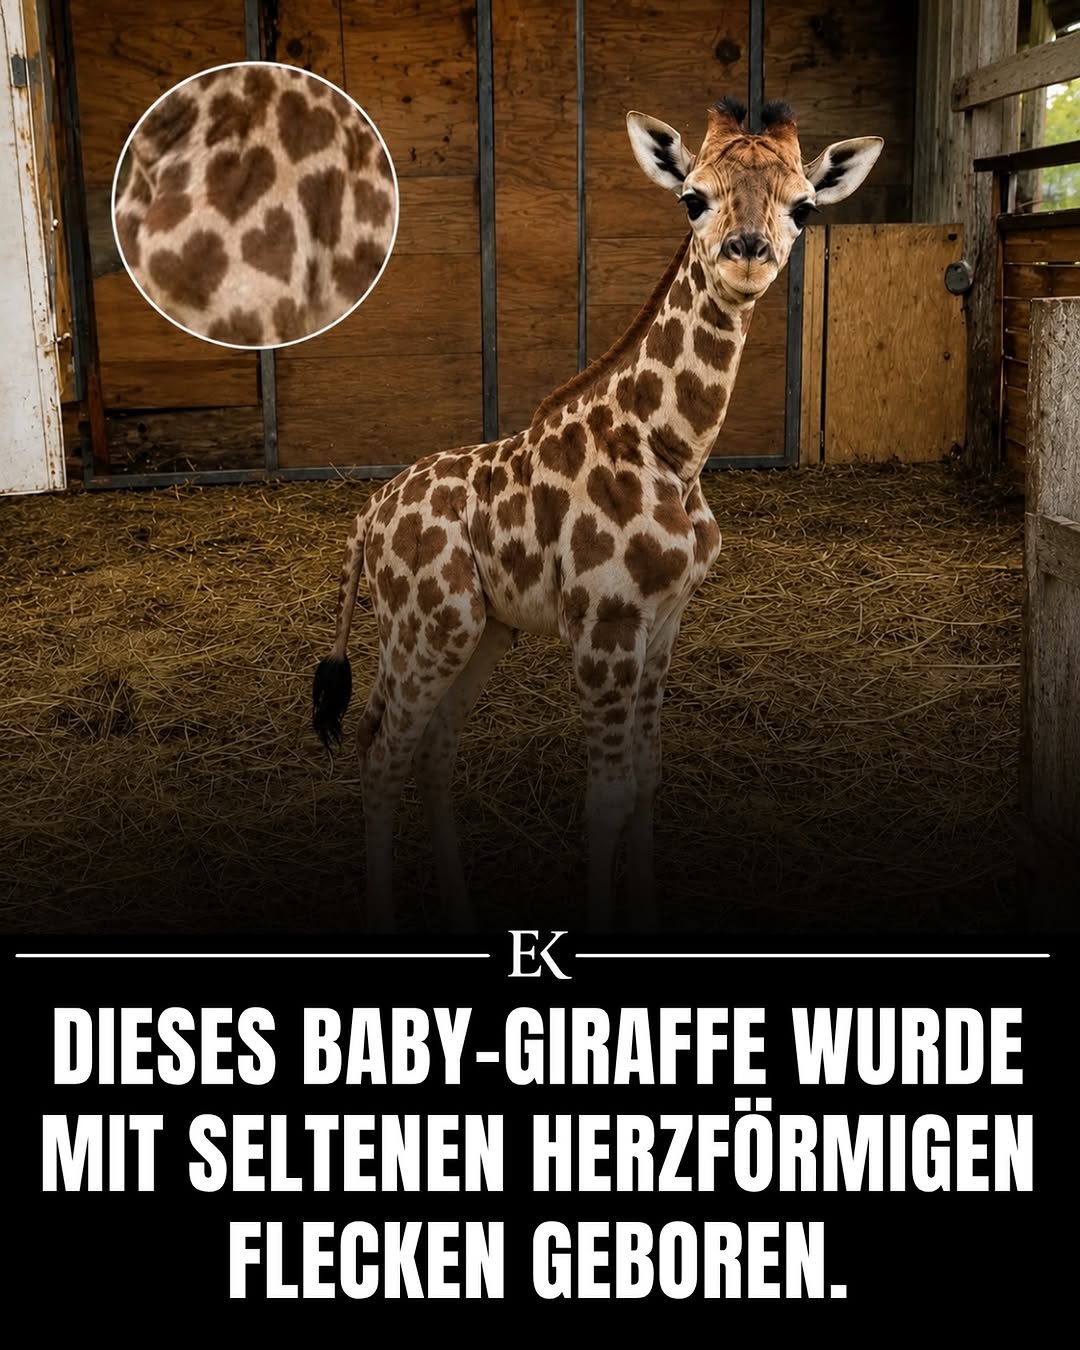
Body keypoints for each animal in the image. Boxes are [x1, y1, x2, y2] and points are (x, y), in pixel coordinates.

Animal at [313, 98, 883, 931]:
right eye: (693, 198)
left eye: (803, 206)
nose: (748, 253)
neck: (671, 452)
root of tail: (369, 517)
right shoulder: (602, 624)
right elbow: (607, 797)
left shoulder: (664, 623)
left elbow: (646, 777)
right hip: (429, 628)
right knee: (383, 751)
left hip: (475, 632)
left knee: (429, 748)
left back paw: (462, 914)